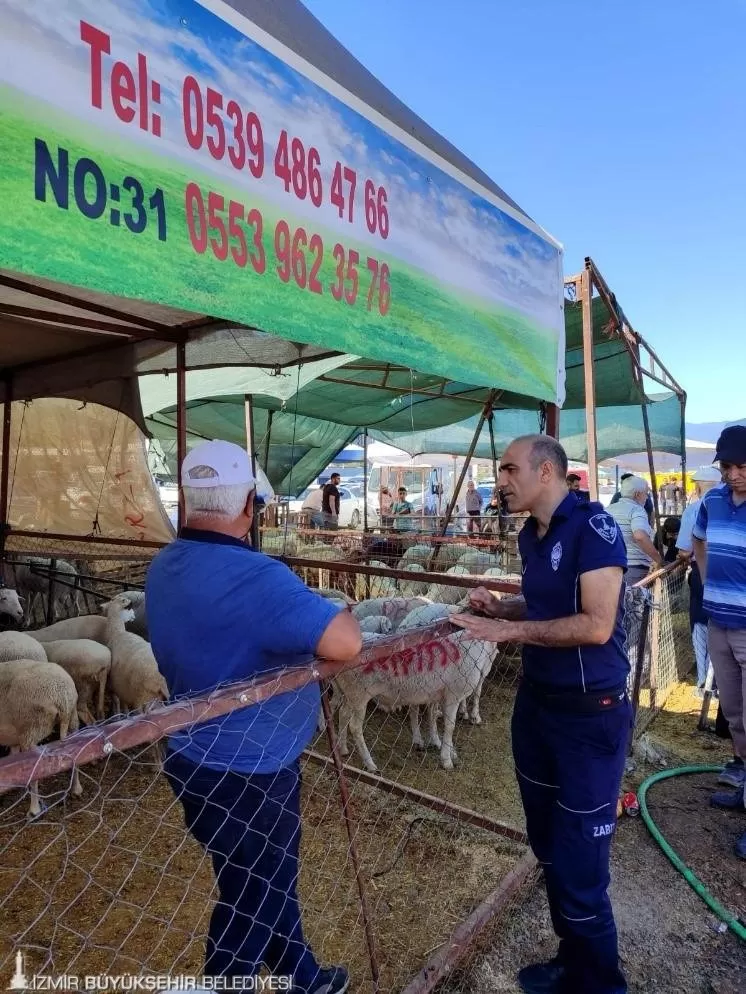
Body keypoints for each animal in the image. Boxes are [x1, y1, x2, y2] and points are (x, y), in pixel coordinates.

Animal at [0, 660, 82, 812]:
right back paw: (77, 789)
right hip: (73, 719)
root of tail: (62, 695)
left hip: (31, 730)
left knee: (35, 771)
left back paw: (34, 809)